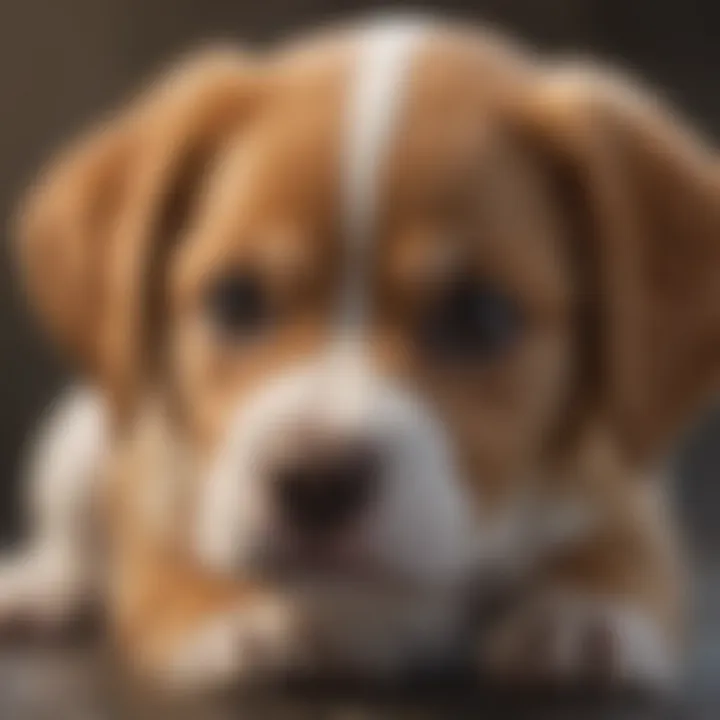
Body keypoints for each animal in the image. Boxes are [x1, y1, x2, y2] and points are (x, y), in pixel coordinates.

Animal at [2, 16, 716, 688]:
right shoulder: (162, 478)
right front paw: (227, 613)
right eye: (236, 299)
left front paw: (583, 613)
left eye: (480, 314)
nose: (315, 480)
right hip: (75, 443)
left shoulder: (621, 479)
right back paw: (40, 588)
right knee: (73, 542)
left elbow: (627, 553)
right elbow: (163, 554)